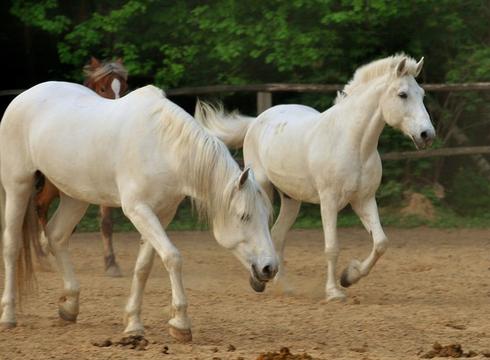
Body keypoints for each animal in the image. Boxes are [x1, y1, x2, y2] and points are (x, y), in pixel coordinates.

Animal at [0, 81, 278, 340]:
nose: (270, 268)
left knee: (56, 237)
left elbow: (144, 266)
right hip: (18, 185)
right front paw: (180, 323)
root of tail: (24, 97)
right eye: (244, 216)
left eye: (266, 217)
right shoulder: (138, 210)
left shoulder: (161, 214)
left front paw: (133, 323)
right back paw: (9, 316)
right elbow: (172, 257)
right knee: (12, 246)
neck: (164, 148)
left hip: (74, 196)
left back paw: (70, 307)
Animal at [34, 56, 128, 278]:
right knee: (39, 205)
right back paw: (43, 257)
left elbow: (106, 223)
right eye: (102, 88)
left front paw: (111, 264)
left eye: (125, 88)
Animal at [193, 53, 434, 300]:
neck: (353, 143)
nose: (427, 135)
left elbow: (380, 243)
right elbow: (332, 247)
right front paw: (334, 292)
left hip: (291, 200)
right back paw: (259, 282)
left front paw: (349, 277)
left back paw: (284, 287)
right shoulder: (329, 202)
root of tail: (256, 121)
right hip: (262, 188)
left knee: (277, 236)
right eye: (402, 94)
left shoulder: (364, 199)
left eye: (422, 94)